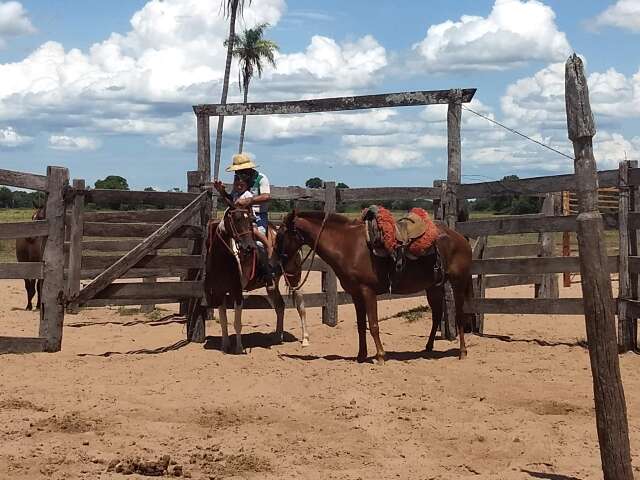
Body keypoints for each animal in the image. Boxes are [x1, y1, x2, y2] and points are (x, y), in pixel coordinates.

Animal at [202, 204, 308, 354]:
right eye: (236, 219)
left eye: (249, 220)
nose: (248, 247)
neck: (226, 259)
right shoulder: (220, 291)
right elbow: (223, 321)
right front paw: (225, 346)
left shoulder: (237, 291)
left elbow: (237, 322)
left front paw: (239, 348)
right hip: (272, 285)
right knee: (280, 306)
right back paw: (278, 336)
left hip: (294, 278)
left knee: (300, 305)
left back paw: (305, 339)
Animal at [276, 211, 476, 364]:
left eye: (281, 236)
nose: (277, 263)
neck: (348, 246)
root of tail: (462, 239)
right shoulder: (356, 294)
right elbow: (361, 326)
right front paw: (361, 356)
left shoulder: (368, 292)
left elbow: (373, 325)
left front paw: (380, 356)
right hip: (433, 287)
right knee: (436, 315)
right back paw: (428, 348)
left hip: (458, 284)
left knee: (459, 316)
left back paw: (462, 352)